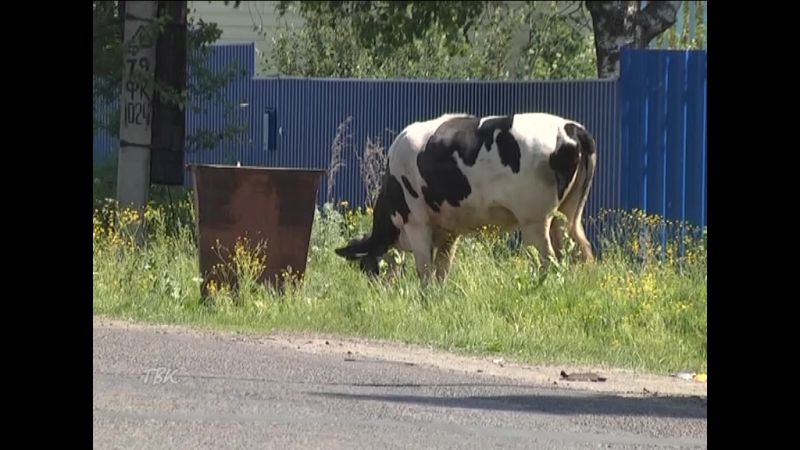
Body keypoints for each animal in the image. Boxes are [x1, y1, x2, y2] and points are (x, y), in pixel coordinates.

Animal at [334, 112, 596, 286]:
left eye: (366, 267)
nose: (377, 289)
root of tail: (571, 127)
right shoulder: (450, 231)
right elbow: (442, 269)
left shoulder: (417, 223)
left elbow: (425, 270)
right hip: (568, 216)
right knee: (582, 253)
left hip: (535, 220)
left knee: (548, 259)